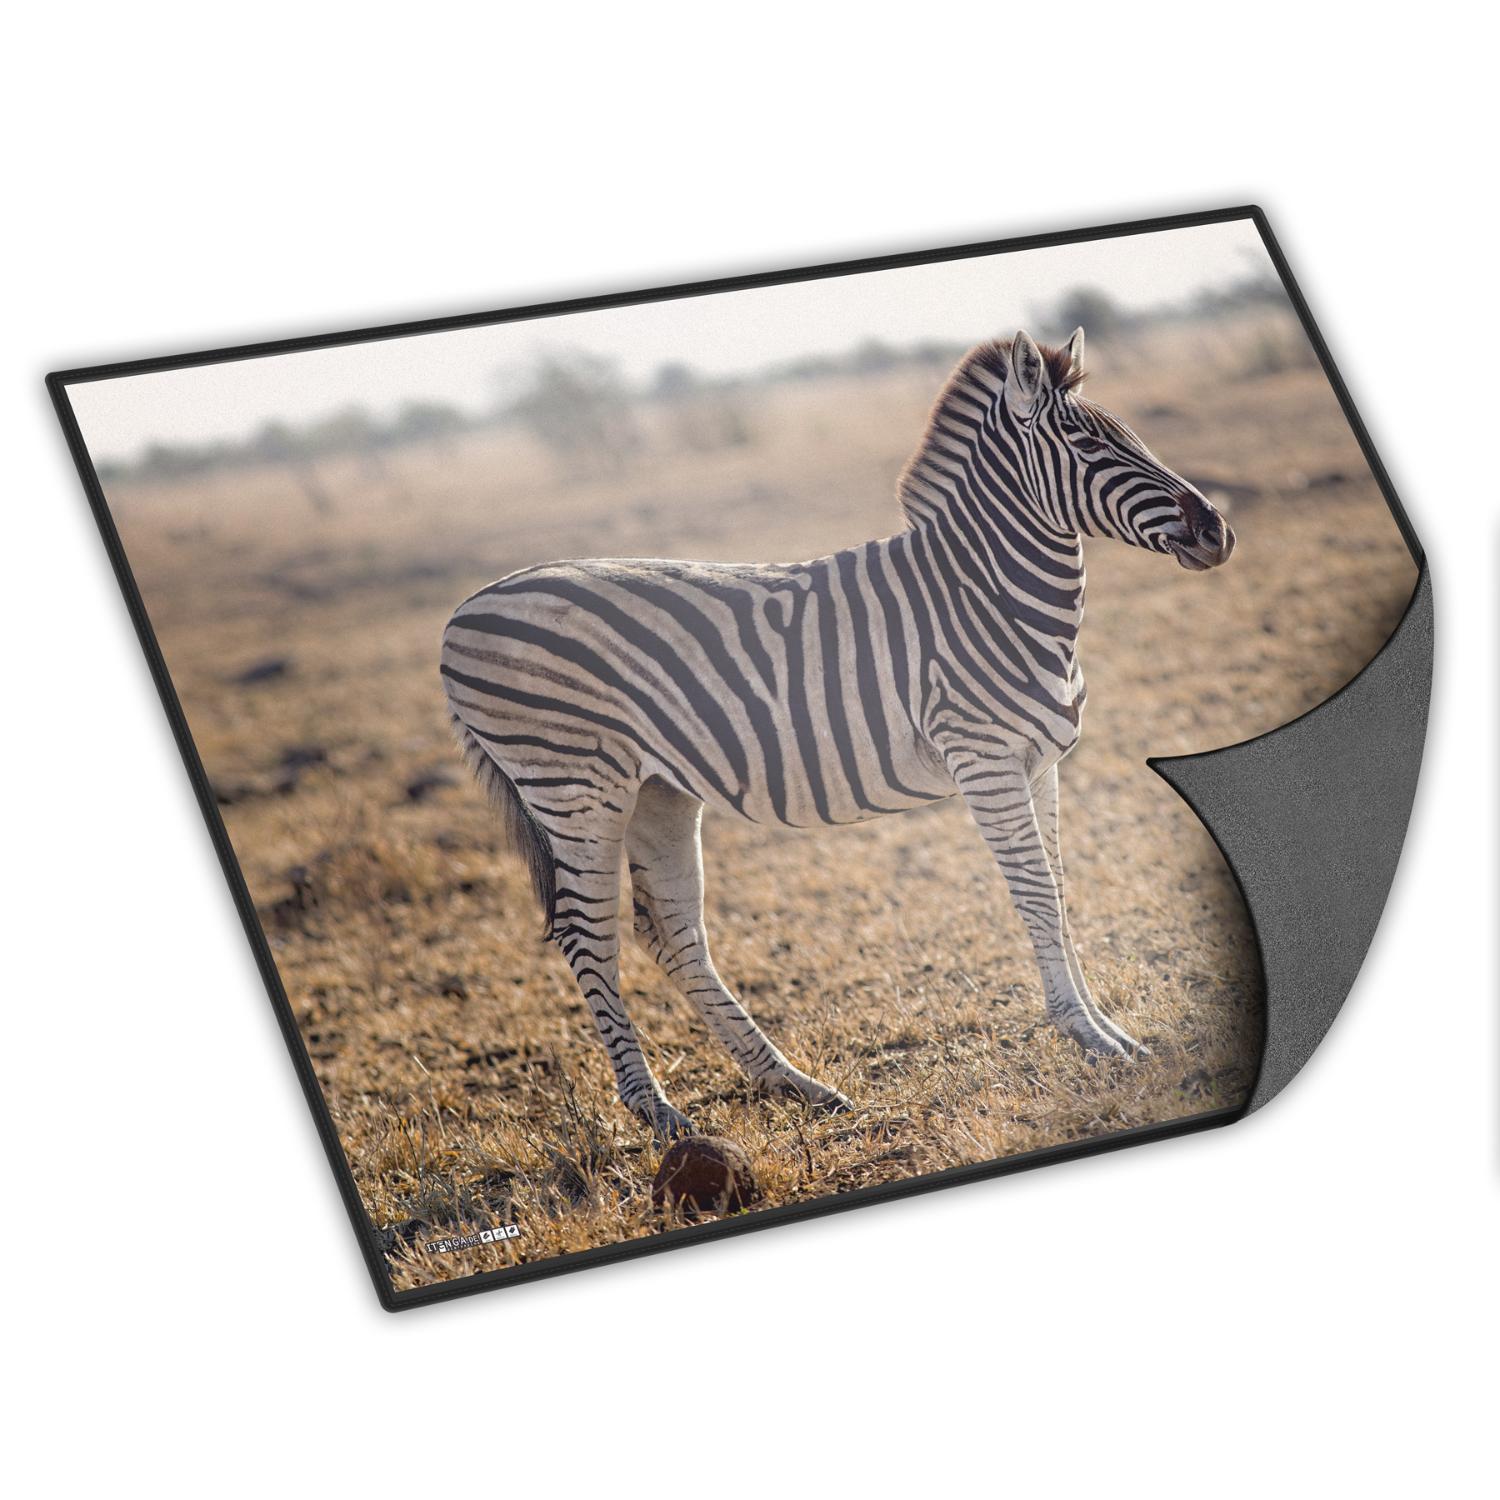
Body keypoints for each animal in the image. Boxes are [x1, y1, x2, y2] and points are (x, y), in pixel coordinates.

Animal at [440, 327, 1235, 1141]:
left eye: (1128, 434)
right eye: (1087, 442)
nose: (1217, 530)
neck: (986, 595)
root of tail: (464, 610)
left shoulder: (1040, 762)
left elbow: (1061, 888)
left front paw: (1106, 1029)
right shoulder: (983, 758)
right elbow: (1036, 893)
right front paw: (1086, 1035)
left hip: (658, 790)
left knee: (670, 930)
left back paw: (794, 1085)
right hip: (574, 786)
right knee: (588, 935)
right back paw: (659, 1113)